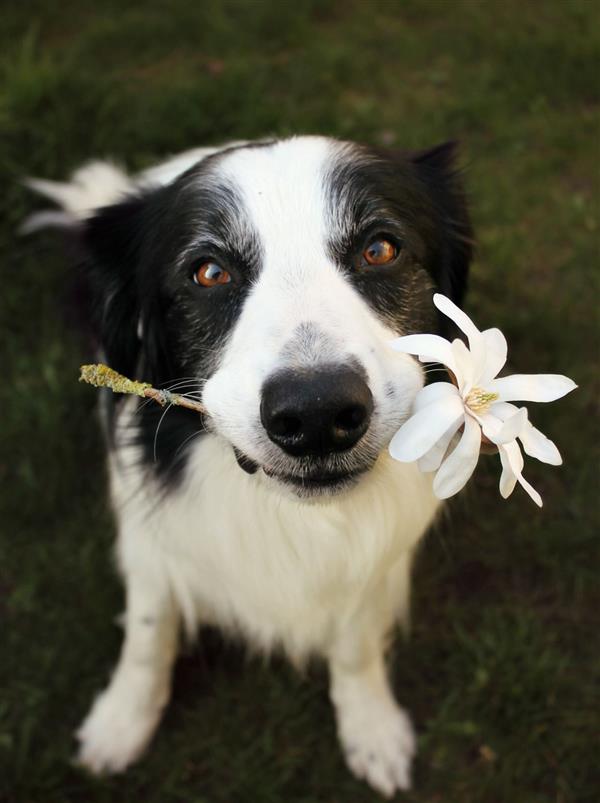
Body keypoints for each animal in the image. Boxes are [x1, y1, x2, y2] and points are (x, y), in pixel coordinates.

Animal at [25, 138, 472, 796]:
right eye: (208, 271)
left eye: (381, 249)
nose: (316, 413)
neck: (288, 514)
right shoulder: (151, 544)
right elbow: (148, 632)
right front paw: (120, 722)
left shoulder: (373, 560)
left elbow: (356, 644)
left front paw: (371, 727)